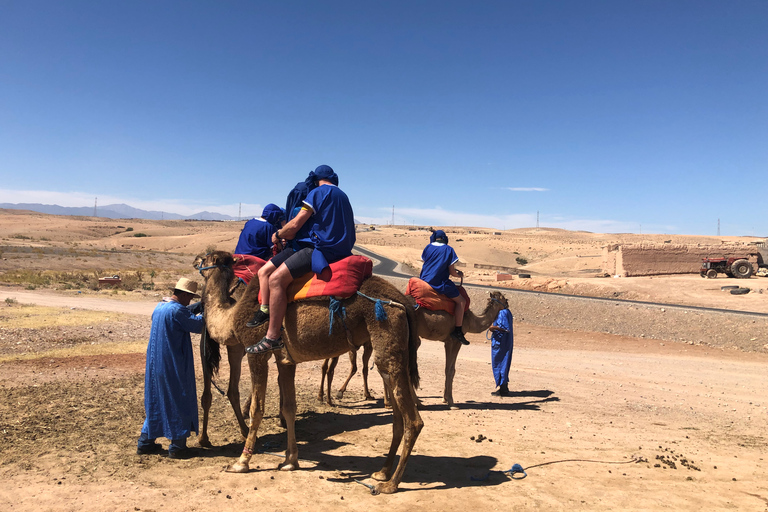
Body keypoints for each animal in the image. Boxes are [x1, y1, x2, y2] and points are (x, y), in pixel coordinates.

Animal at [195, 250, 424, 494]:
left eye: (204, 258)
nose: (195, 262)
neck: (231, 316)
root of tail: (403, 303)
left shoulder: (255, 351)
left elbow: (257, 409)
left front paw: (241, 462)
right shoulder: (285, 361)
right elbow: (288, 408)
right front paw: (290, 461)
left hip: (386, 331)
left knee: (413, 421)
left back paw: (391, 484)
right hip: (390, 351)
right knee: (397, 416)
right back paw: (382, 472)